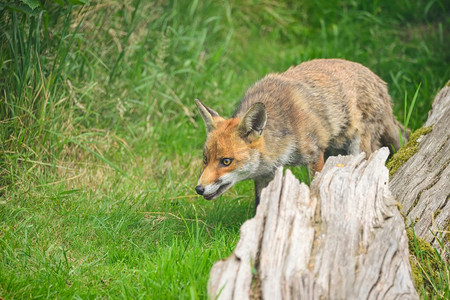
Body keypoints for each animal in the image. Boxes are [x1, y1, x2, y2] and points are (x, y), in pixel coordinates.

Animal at [195, 58, 406, 209]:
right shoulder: (265, 174)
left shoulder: (314, 155)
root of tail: (380, 81)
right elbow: (261, 204)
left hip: (357, 149)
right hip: (335, 152)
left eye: (226, 161)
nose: (199, 189)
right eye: (205, 159)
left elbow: (315, 188)